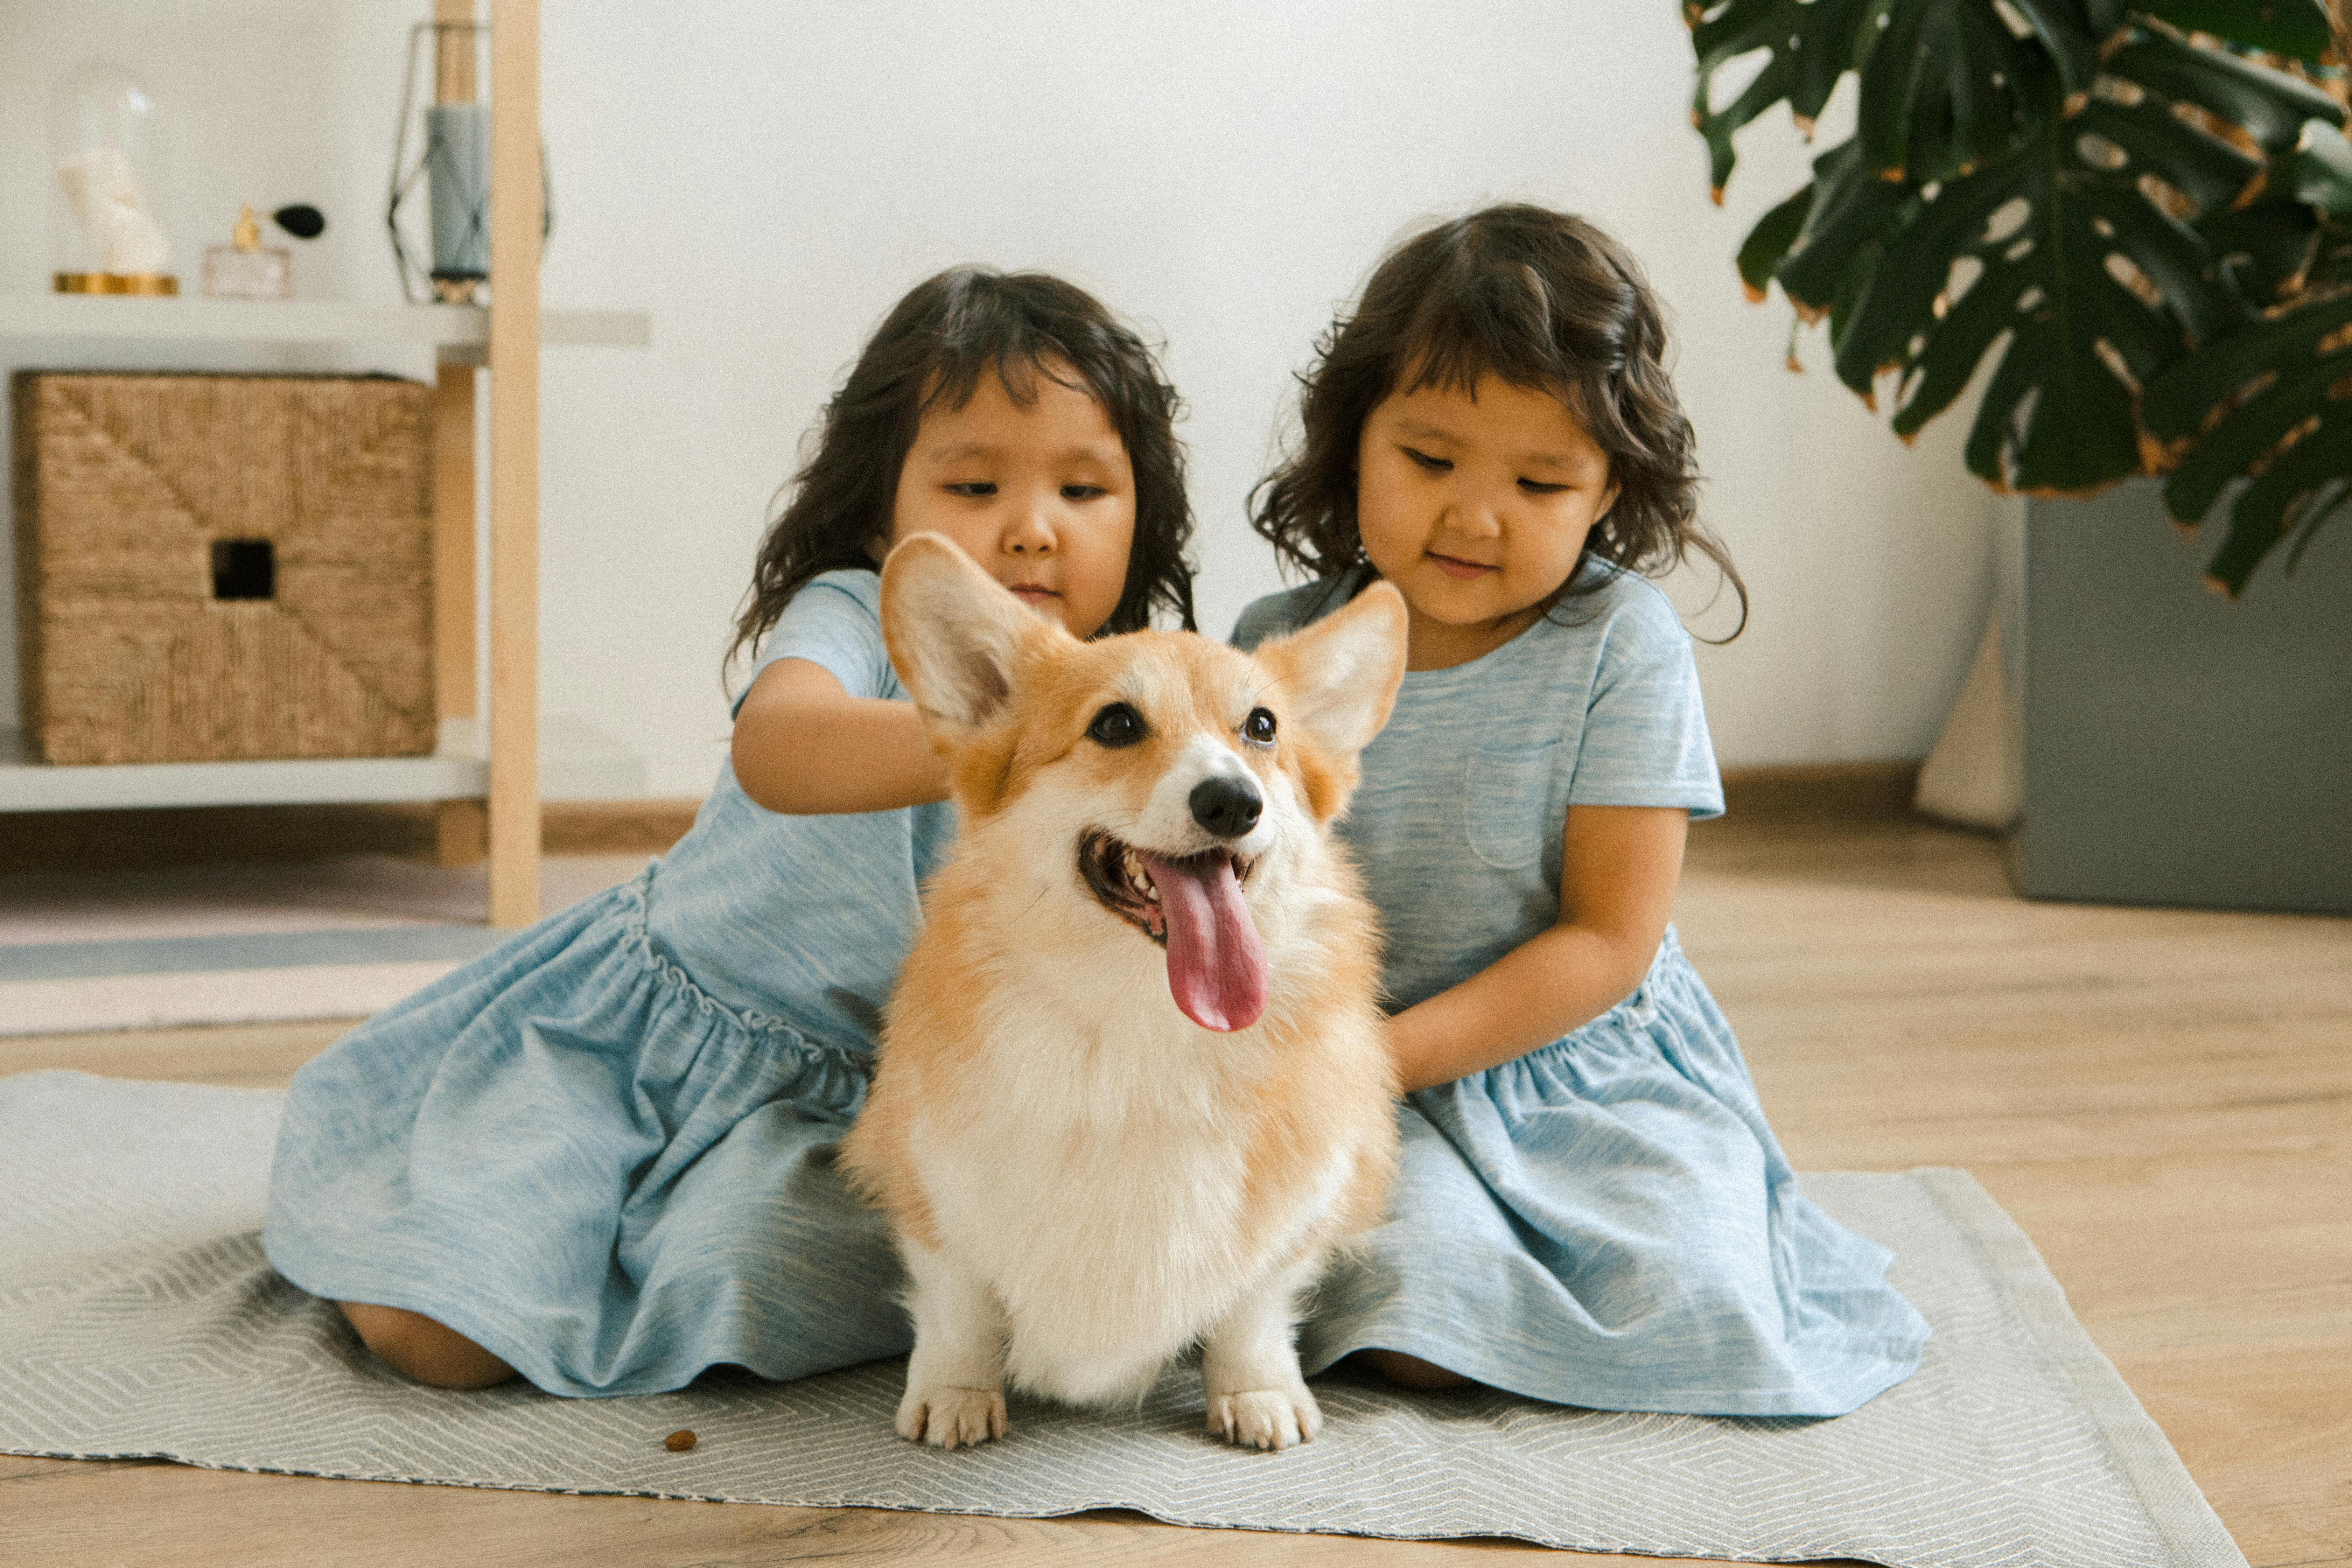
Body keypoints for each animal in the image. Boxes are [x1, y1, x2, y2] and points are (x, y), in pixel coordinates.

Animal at [837, 540, 1402, 1457]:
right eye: (1115, 725)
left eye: (1263, 728)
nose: (1233, 801)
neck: (1145, 1028)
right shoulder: (930, 1185)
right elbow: (959, 1306)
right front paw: (956, 1393)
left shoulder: (1308, 1198)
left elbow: (1254, 1305)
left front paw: (1257, 1392)